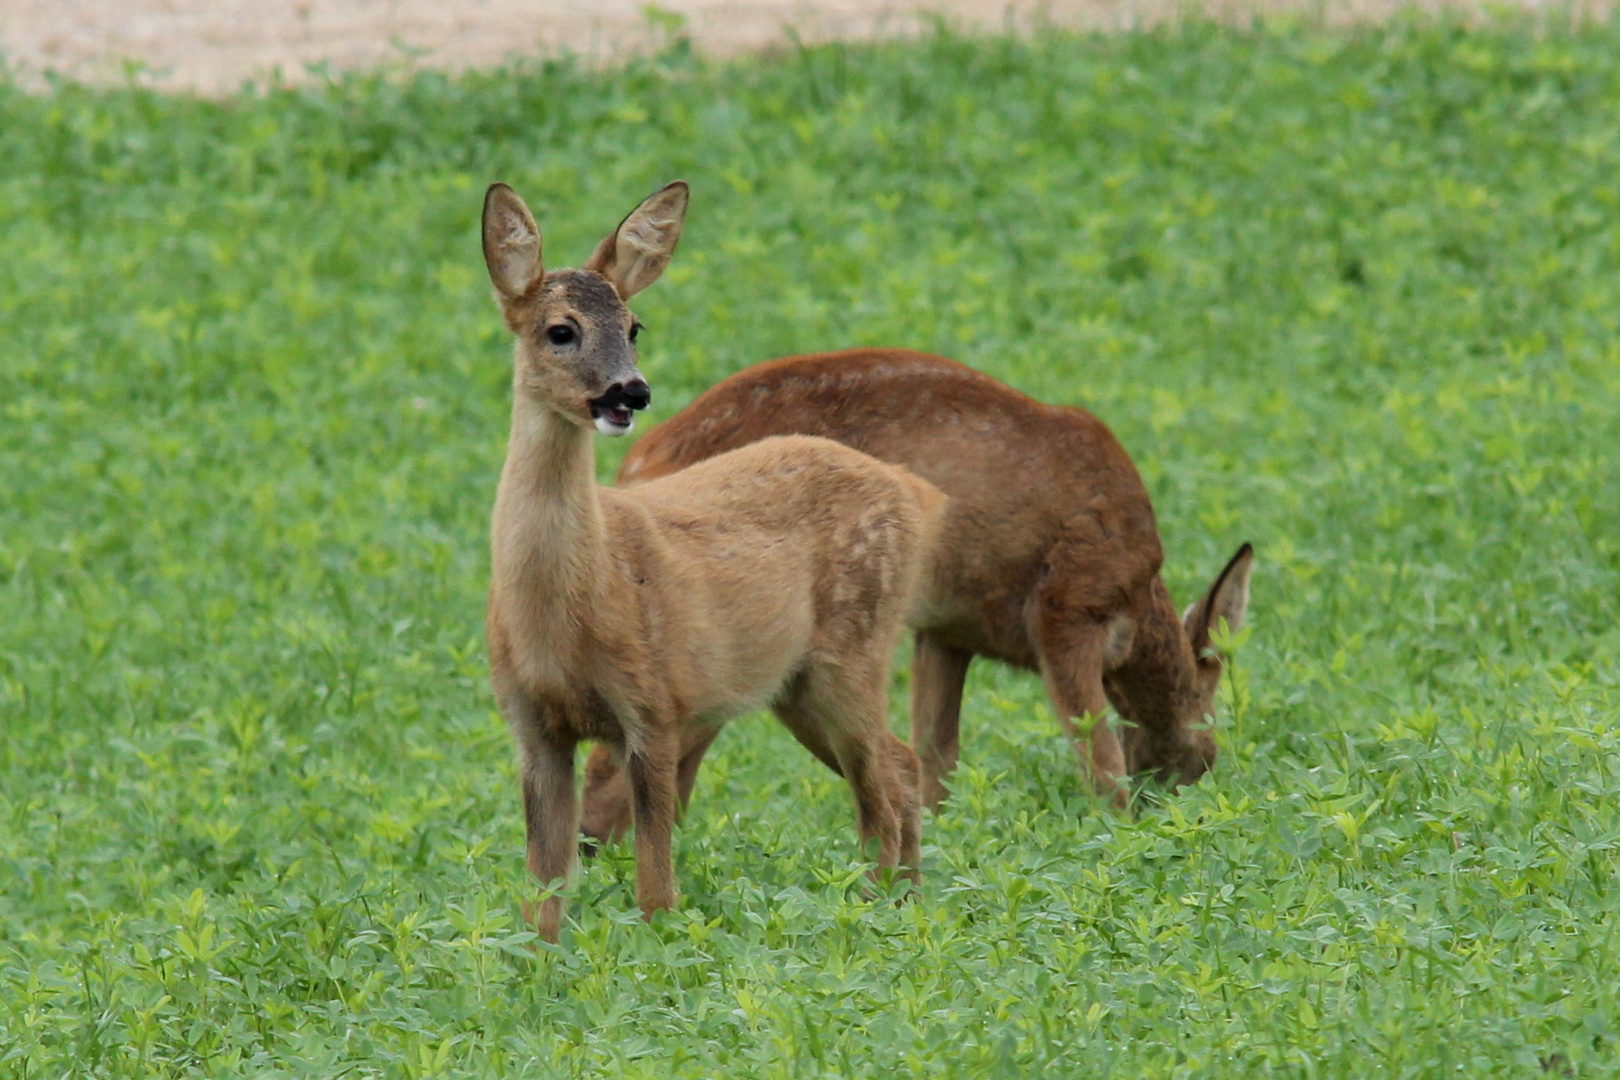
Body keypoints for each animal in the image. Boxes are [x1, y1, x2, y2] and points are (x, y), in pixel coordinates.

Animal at [473, 183, 946, 939]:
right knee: (898, 770)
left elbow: (655, 888)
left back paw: (875, 915)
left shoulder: (656, 702)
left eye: (634, 325)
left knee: (884, 790)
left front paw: (666, 952)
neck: (567, 612)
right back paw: (904, 906)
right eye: (560, 331)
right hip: (796, 688)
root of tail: (915, 492)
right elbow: (541, 894)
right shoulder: (531, 725)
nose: (630, 392)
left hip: (854, 648)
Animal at [583, 351, 1250, 841]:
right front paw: (1124, 841)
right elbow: (1099, 759)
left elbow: (936, 760)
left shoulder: (946, 631)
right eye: (1209, 720)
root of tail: (635, 465)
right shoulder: (1064, 609)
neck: (1136, 609)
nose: (1189, 794)